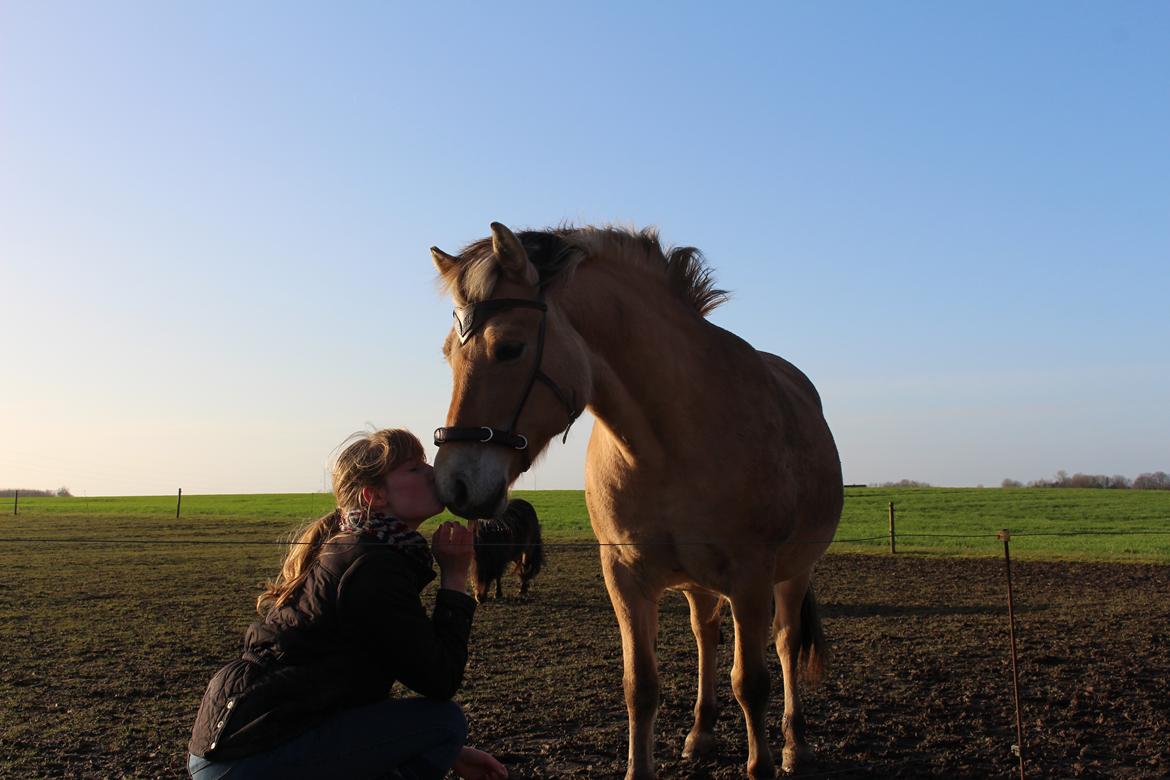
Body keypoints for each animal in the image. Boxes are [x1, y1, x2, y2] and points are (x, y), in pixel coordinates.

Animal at [430, 222, 842, 776]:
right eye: (450, 354)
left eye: (509, 348)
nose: (453, 482)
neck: (669, 443)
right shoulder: (624, 577)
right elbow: (639, 688)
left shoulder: (752, 578)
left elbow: (752, 685)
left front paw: (763, 764)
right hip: (699, 584)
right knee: (705, 632)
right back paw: (700, 733)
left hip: (792, 573)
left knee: (786, 643)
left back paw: (796, 745)